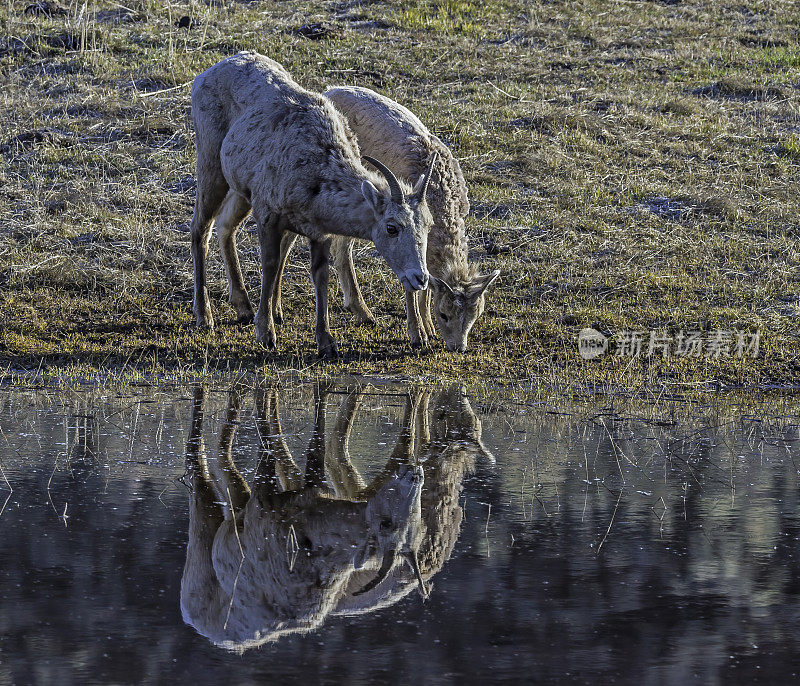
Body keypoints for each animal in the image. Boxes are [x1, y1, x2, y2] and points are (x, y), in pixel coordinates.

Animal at [190, 52, 434, 360]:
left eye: (428, 225)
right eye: (392, 227)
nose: (420, 278)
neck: (317, 173)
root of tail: (205, 74)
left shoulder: (320, 232)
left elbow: (320, 276)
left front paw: (327, 342)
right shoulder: (267, 212)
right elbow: (270, 266)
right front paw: (266, 334)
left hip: (240, 189)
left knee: (225, 226)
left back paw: (242, 307)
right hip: (210, 164)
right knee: (200, 229)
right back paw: (204, 316)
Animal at [274, 86, 500, 352]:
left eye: (476, 315)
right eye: (444, 314)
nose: (458, 347)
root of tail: (329, 90)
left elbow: (425, 283)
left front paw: (428, 327)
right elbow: (411, 285)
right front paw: (418, 335)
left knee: (342, 247)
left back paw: (363, 313)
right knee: (289, 239)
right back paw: (277, 312)